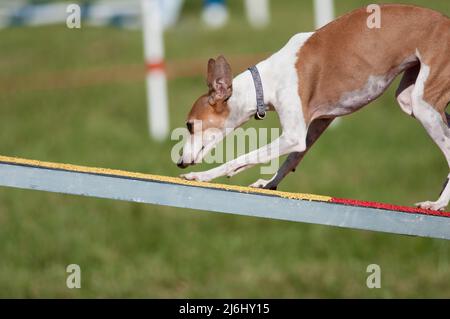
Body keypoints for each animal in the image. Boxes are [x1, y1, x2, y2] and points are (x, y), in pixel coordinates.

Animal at [178, 4, 448, 212]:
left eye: (189, 125)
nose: (180, 161)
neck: (265, 81)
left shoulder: (293, 135)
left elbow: (242, 157)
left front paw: (200, 176)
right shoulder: (317, 123)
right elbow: (291, 159)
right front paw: (269, 183)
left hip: (423, 104)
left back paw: (437, 204)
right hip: (410, 98)